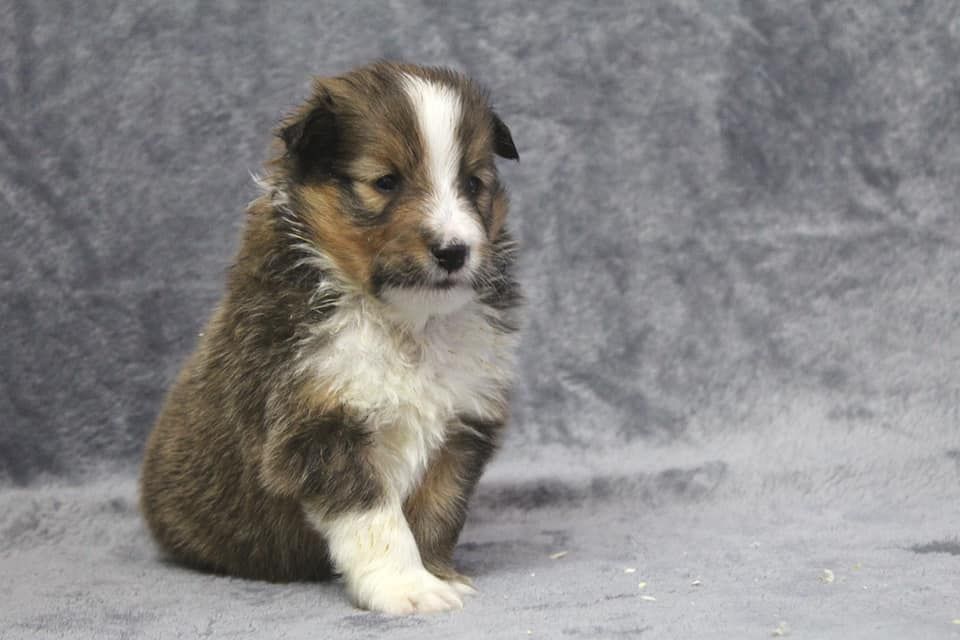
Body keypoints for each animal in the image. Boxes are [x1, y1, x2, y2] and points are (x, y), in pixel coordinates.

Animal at [139, 61, 520, 616]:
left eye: (474, 182)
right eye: (385, 181)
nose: (454, 251)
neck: (406, 322)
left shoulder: (460, 424)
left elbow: (438, 510)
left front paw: (438, 575)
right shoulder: (317, 426)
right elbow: (377, 519)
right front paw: (407, 587)